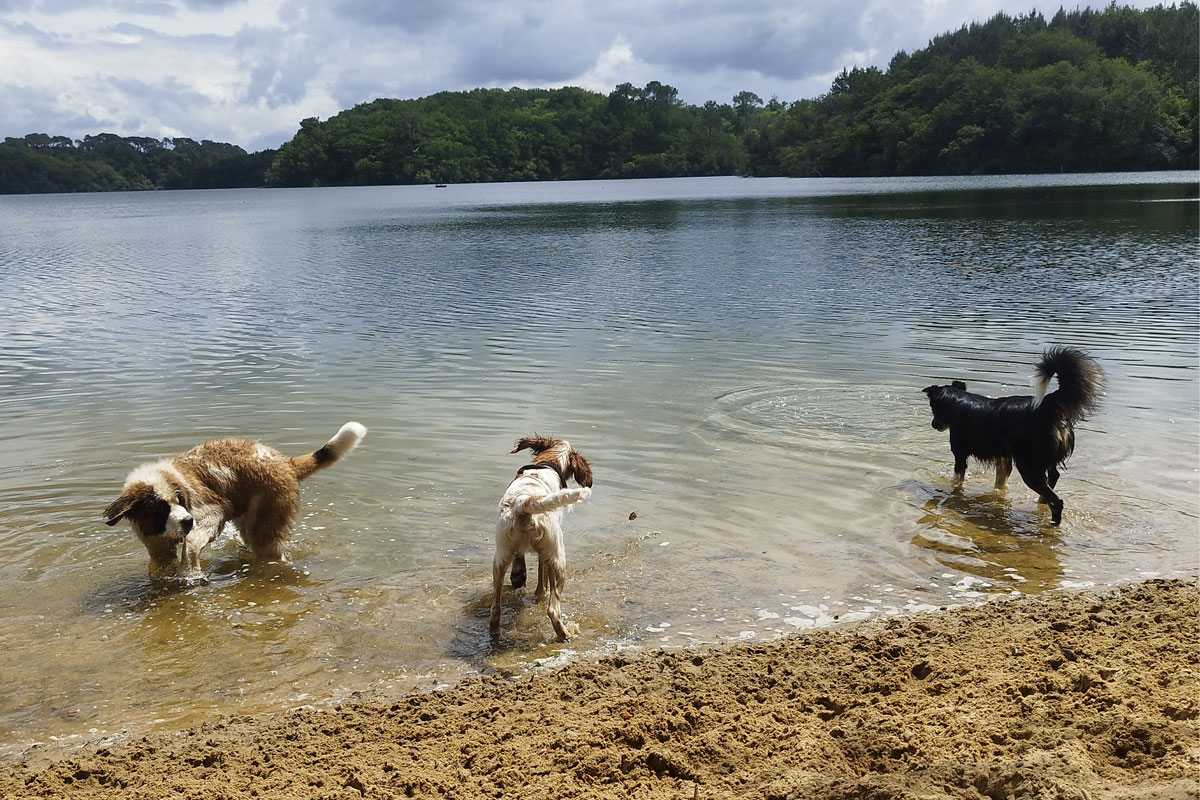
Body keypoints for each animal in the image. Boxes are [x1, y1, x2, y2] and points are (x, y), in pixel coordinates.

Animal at [103, 422, 364, 578]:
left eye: (180, 501)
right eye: (159, 509)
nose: (187, 521)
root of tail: (284, 462)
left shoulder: (210, 512)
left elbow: (192, 543)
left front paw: (189, 572)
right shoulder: (156, 543)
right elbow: (161, 561)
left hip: (264, 526)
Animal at [489, 434, 592, 642]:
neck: (548, 462)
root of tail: (523, 502)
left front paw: (519, 577)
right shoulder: (547, 555)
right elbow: (541, 578)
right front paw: (539, 595)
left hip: (500, 557)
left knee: (495, 609)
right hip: (558, 557)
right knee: (553, 610)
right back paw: (565, 636)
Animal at [921, 345, 1099, 525]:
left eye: (932, 407)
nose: (933, 424)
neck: (956, 402)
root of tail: (1046, 406)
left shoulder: (960, 455)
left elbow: (956, 480)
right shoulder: (1003, 459)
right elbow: (1000, 484)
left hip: (1029, 466)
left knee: (1056, 500)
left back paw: (1053, 522)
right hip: (1044, 460)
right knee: (1054, 477)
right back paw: (1040, 502)